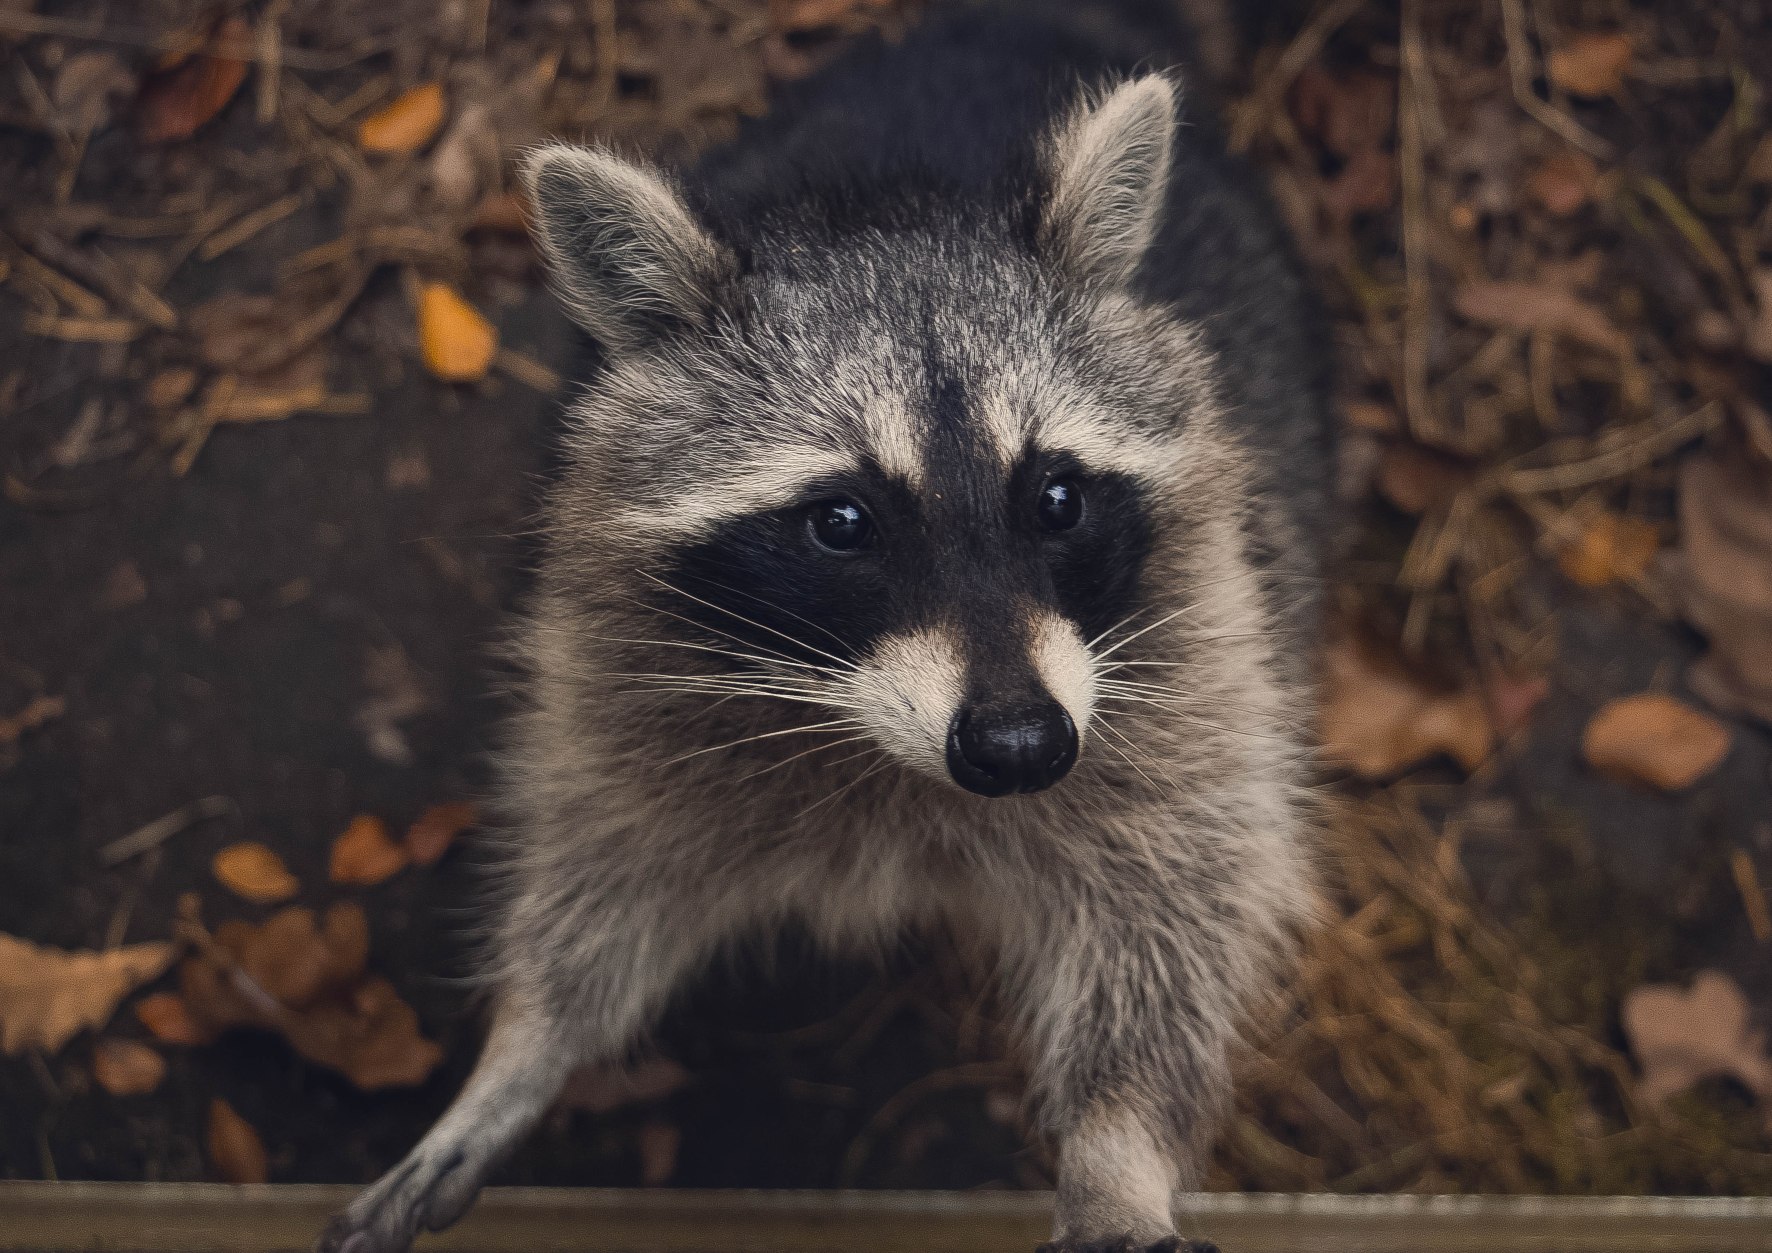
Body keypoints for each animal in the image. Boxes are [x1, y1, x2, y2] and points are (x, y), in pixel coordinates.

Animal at [318, 2, 1331, 1250]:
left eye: (1055, 496)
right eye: (841, 521)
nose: (1019, 748)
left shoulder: (1193, 647)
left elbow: (1178, 896)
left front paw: (1116, 1147)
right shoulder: (622, 657)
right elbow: (603, 859)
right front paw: (525, 1043)